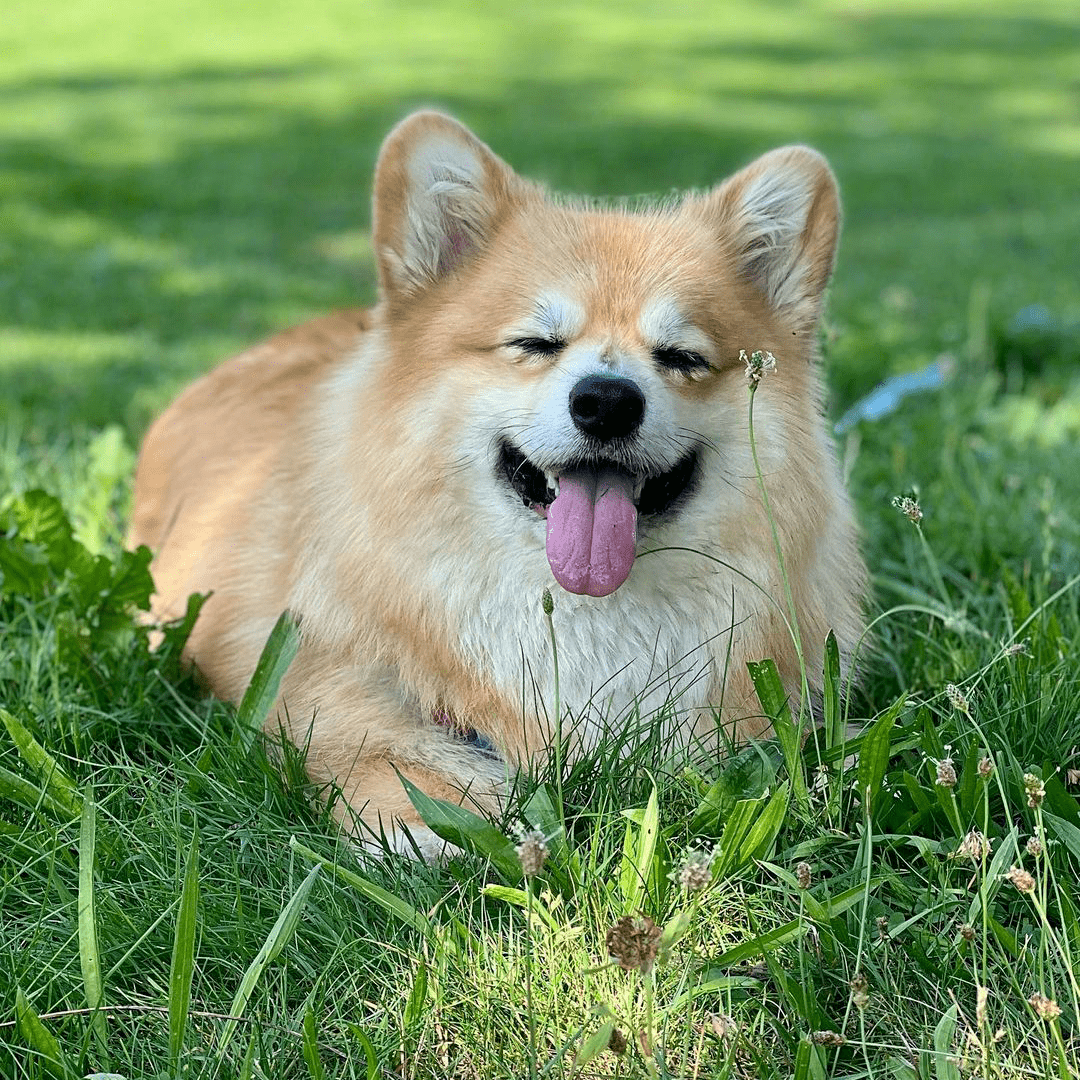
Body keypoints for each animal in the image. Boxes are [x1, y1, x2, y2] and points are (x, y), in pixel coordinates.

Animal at [128, 107, 868, 851]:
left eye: (681, 357)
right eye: (535, 344)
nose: (607, 402)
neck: (581, 611)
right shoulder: (329, 693)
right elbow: (379, 755)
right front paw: (431, 826)